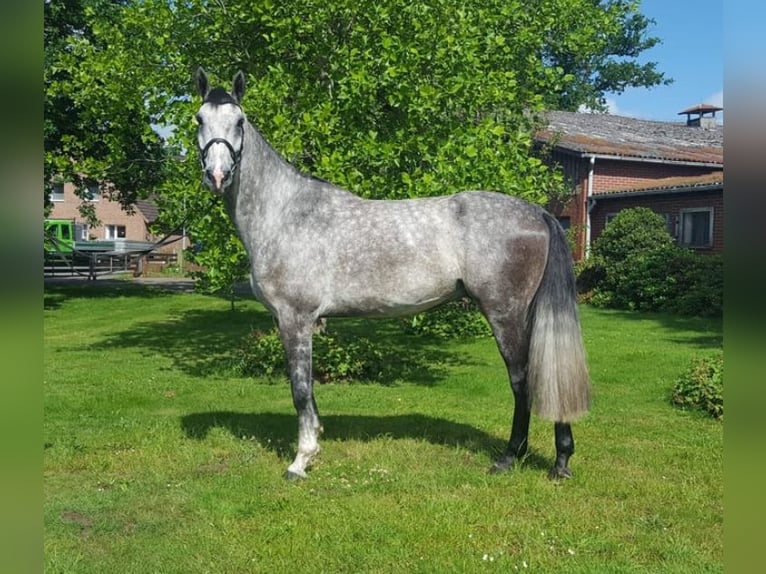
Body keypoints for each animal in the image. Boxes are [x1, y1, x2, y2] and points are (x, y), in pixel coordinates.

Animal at [194, 68, 592, 482]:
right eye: (199, 119)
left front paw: (301, 461)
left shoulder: (295, 318)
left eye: (239, 121)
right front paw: (315, 443)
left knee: (523, 379)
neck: (287, 212)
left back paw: (521, 458)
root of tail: (538, 213)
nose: (217, 175)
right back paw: (555, 459)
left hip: (506, 313)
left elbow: (300, 389)